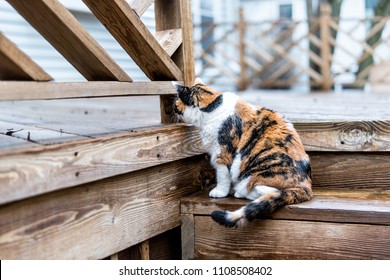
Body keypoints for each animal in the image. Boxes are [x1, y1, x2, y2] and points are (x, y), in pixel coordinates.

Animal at [172, 79, 312, 228]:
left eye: (175, 100)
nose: (172, 110)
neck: (213, 106)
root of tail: (307, 186)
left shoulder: (222, 153)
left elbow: (222, 176)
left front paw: (220, 192)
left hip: (258, 168)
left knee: (269, 191)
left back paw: (240, 192)